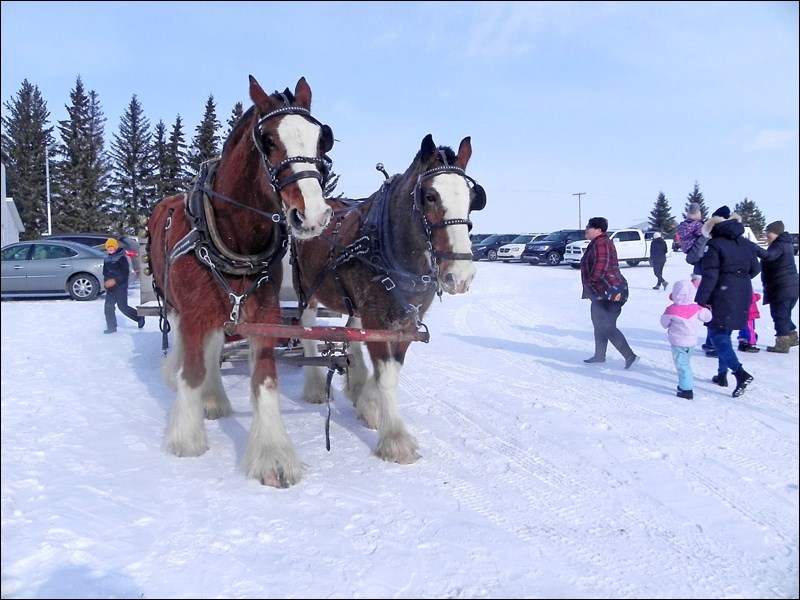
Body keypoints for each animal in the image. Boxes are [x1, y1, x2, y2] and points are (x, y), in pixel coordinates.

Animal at [147, 75, 334, 488]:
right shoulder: (195, 311)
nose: (313, 215)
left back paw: (214, 398)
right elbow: (193, 370)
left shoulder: (263, 314)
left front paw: (273, 454)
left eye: (322, 140)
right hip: (177, 305)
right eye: (267, 140)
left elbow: (265, 381)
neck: (234, 238)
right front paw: (186, 438)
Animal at [290, 135, 484, 464]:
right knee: (307, 331)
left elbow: (391, 369)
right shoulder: (376, 318)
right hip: (306, 289)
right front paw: (395, 439)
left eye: (472, 198)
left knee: (352, 333)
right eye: (430, 196)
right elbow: (386, 375)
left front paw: (369, 405)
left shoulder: (407, 322)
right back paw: (316, 385)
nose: (460, 275)